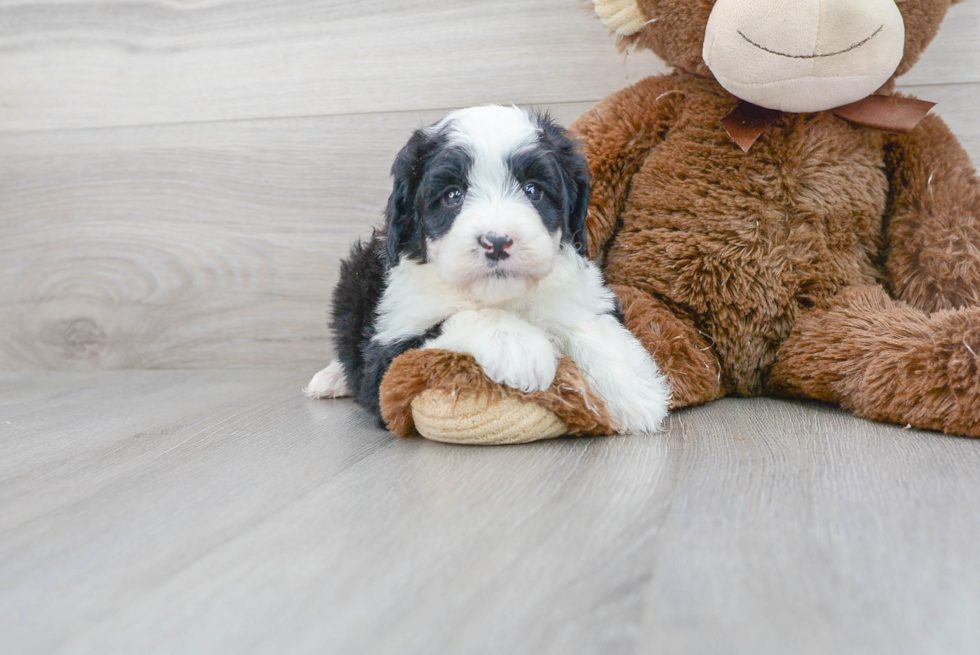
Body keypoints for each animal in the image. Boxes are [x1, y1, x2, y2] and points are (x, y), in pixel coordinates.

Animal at [306, 105, 672, 436]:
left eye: (533, 190)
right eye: (453, 195)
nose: (496, 241)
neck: (503, 297)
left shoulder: (580, 289)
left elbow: (591, 324)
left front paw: (632, 388)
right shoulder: (387, 356)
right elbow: (452, 319)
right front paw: (519, 346)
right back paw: (331, 378)